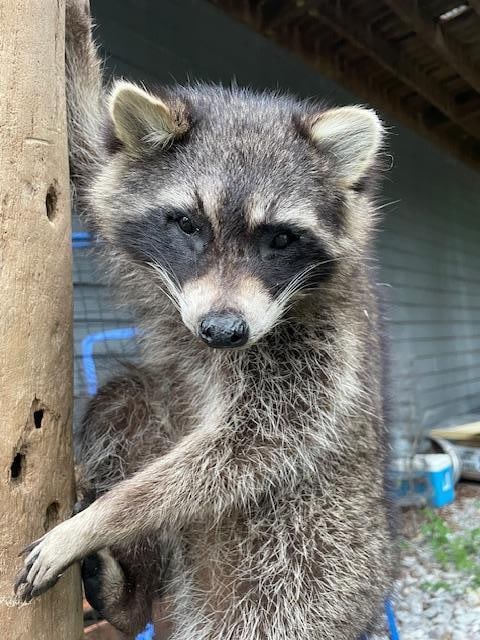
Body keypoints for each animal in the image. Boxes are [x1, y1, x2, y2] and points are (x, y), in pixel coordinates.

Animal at [15, 1, 397, 638]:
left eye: (280, 238)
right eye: (188, 224)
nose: (223, 331)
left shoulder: (322, 341)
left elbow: (255, 444)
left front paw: (106, 515)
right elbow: (88, 148)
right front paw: (71, 26)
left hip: (312, 561)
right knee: (127, 397)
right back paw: (128, 594)